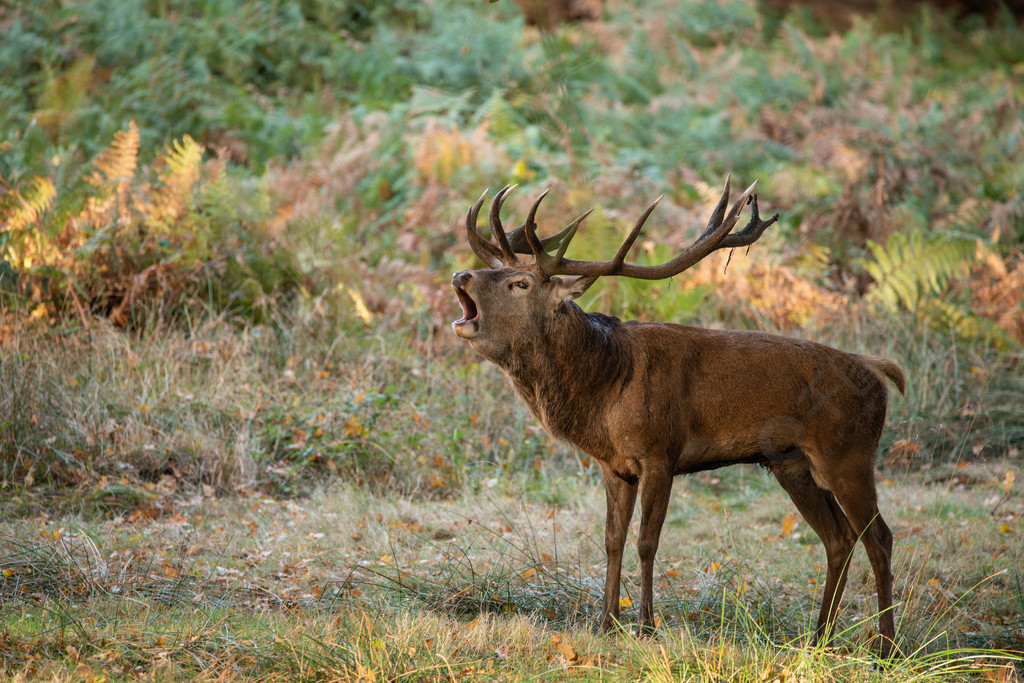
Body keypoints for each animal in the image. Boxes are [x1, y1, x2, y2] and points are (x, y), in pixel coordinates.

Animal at [450, 178, 905, 655]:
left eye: (519, 283)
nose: (460, 276)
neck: (606, 390)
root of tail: (877, 371)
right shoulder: (614, 466)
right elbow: (612, 540)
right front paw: (606, 622)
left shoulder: (660, 452)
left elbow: (646, 542)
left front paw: (646, 626)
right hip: (793, 464)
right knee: (839, 538)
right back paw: (819, 639)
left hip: (849, 452)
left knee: (880, 537)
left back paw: (885, 647)